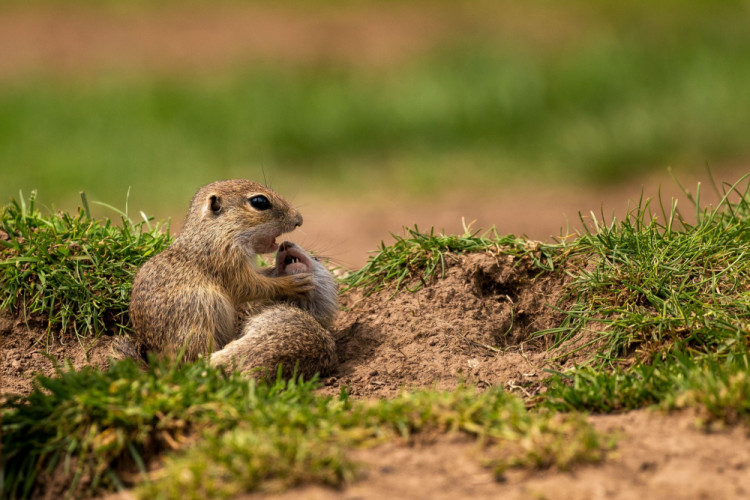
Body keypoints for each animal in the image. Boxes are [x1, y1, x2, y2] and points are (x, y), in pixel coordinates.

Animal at [131, 179, 340, 376]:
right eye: (260, 202)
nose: (299, 220)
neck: (215, 233)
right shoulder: (228, 262)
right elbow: (250, 286)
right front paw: (290, 283)